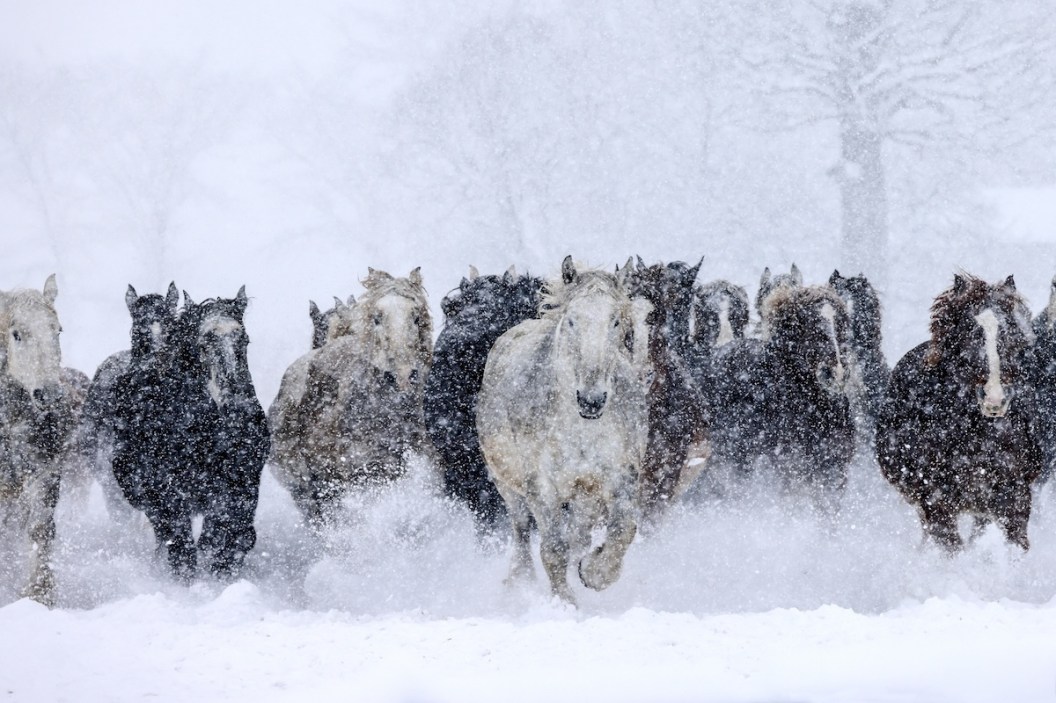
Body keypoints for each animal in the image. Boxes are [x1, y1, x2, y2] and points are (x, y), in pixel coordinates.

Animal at [110, 286, 269, 579]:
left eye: (244, 340)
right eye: (204, 343)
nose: (238, 406)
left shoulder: (242, 488)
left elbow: (231, 539)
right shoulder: (168, 496)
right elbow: (183, 550)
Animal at [477, 256, 646, 604]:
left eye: (615, 322)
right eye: (571, 320)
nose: (592, 399)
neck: (581, 428)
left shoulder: (620, 476)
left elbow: (623, 529)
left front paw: (594, 573)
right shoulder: (541, 486)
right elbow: (553, 549)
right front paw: (565, 603)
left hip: (584, 496)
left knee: (579, 534)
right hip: (507, 483)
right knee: (522, 528)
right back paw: (519, 581)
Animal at [876, 274, 1041, 551]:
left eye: (1011, 331)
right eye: (969, 332)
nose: (994, 398)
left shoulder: (1013, 493)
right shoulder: (936, 500)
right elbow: (951, 546)